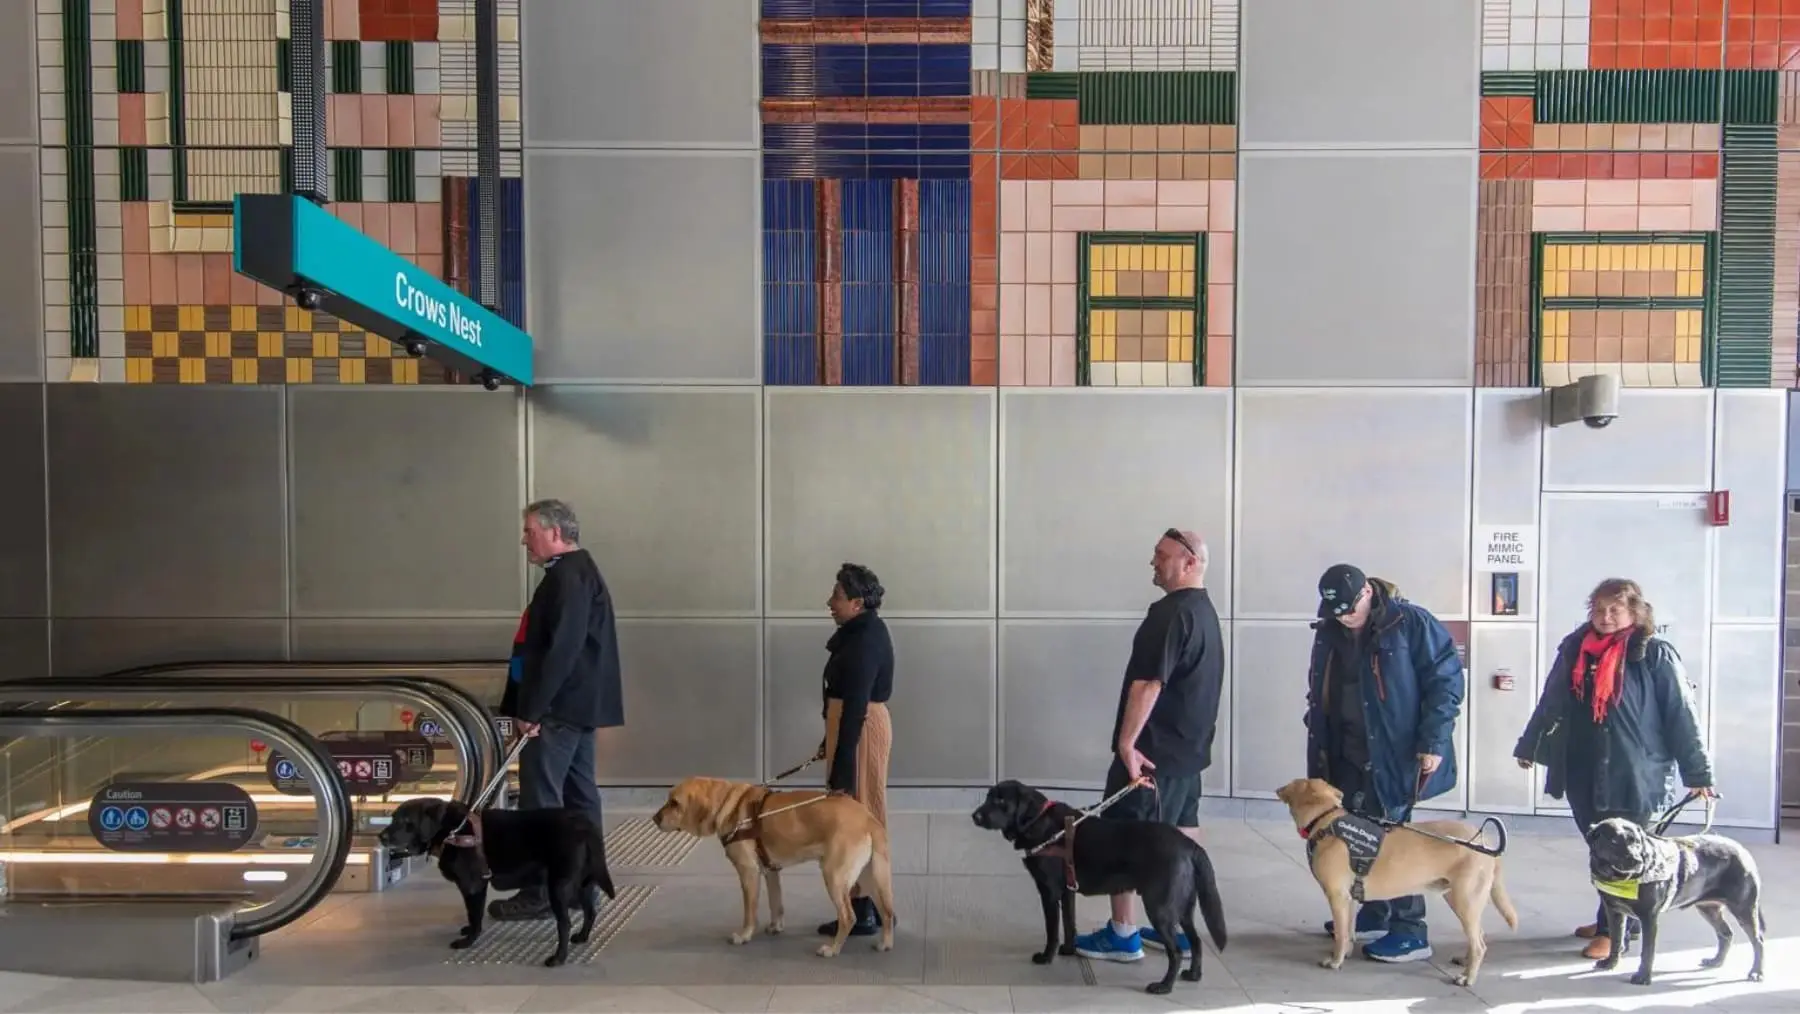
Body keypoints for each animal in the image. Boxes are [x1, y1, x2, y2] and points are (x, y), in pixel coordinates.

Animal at [379, 803, 619, 965]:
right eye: (392, 817)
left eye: (404, 821)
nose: (381, 836)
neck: (452, 830)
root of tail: (583, 824)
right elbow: (471, 914)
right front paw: (468, 931)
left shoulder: (473, 885)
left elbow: (474, 916)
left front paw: (468, 941)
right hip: (582, 883)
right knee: (590, 910)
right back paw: (582, 936)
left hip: (559, 886)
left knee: (565, 924)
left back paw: (558, 958)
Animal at [972, 785, 1224, 994]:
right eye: (988, 797)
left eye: (1001, 800)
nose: (975, 816)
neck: (1038, 820)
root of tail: (1189, 844)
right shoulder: (1068, 890)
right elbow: (1069, 923)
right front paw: (1068, 950)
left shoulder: (1049, 892)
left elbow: (1052, 930)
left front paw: (1046, 956)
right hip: (1183, 908)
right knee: (1196, 941)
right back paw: (1193, 974)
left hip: (1159, 908)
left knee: (1177, 951)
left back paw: (1164, 986)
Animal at [1584, 821, 1764, 986]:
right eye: (1614, 841)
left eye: (1636, 842)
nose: (1637, 861)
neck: (1621, 879)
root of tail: (1741, 849)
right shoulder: (1614, 911)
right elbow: (1616, 939)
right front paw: (1610, 963)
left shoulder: (1649, 917)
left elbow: (1647, 951)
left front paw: (1643, 976)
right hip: (1708, 909)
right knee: (1726, 933)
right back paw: (1716, 961)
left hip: (1743, 909)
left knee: (1758, 941)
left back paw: (1756, 972)